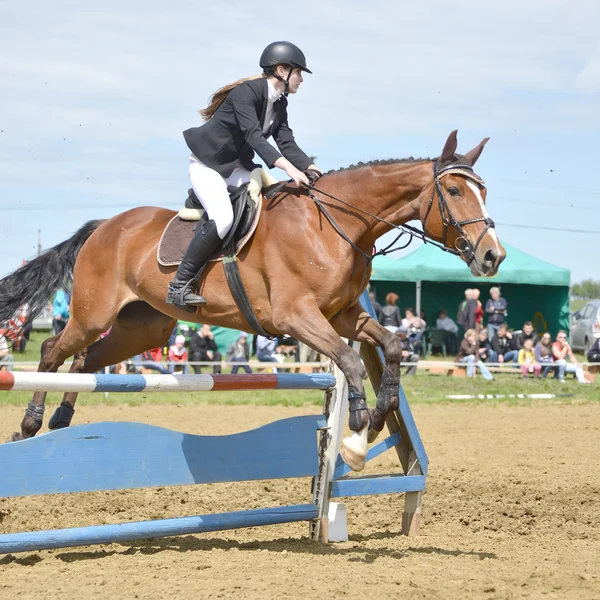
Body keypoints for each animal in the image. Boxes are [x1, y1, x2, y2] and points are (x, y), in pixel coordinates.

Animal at [0, 132, 506, 474]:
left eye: (484, 191)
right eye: (454, 191)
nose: (492, 256)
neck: (335, 225)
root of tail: (104, 226)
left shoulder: (342, 315)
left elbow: (394, 348)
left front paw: (379, 420)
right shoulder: (297, 317)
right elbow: (350, 363)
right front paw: (358, 437)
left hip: (143, 328)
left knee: (88, 359)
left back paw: (62, 419)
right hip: (93, 313)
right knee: (54, 351)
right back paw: (29, 424)